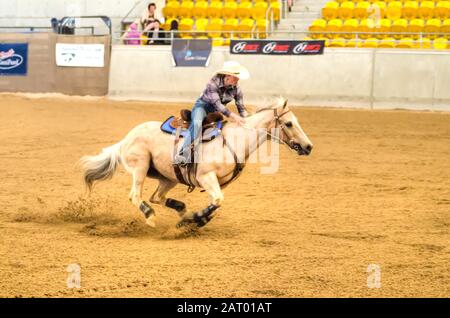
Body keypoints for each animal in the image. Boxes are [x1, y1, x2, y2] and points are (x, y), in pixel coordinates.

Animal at [79, 97, 312, 229]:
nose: (308, 146)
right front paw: (196, 219)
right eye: (289, 124)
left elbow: (216, 203)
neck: (235, 140)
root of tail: (126, 138)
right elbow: (218, 200)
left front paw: (192, 219)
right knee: (136, 196)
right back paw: (151, 217)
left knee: (156, 197)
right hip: (140, 167)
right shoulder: (206, 177)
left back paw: (182, 210)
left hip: (169, 177)